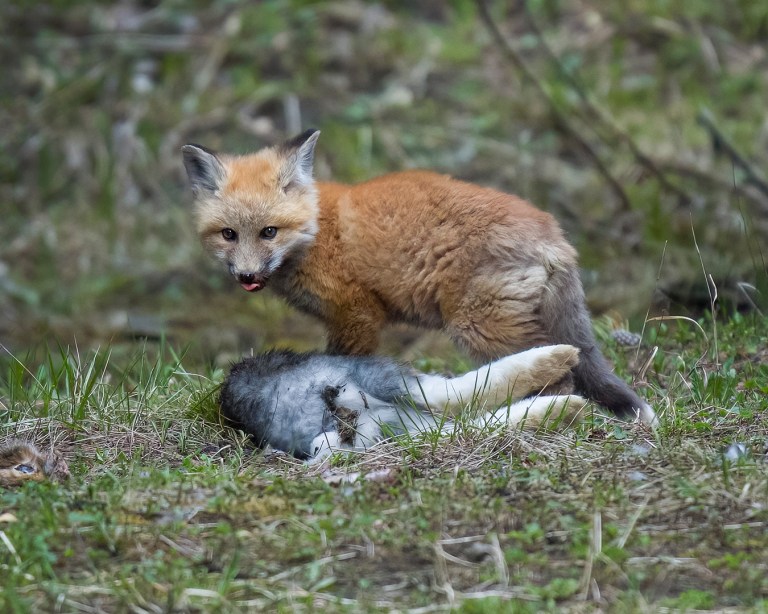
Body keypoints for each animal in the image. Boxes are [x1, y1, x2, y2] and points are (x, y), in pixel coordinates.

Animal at [182, 129, 656, 426]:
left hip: (480, 327)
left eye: (269, 232)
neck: (316, 232)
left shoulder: (355, 313)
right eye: (228, 234)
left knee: (555, 376)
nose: (246, 276)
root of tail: (553, 234)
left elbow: (346, 361)